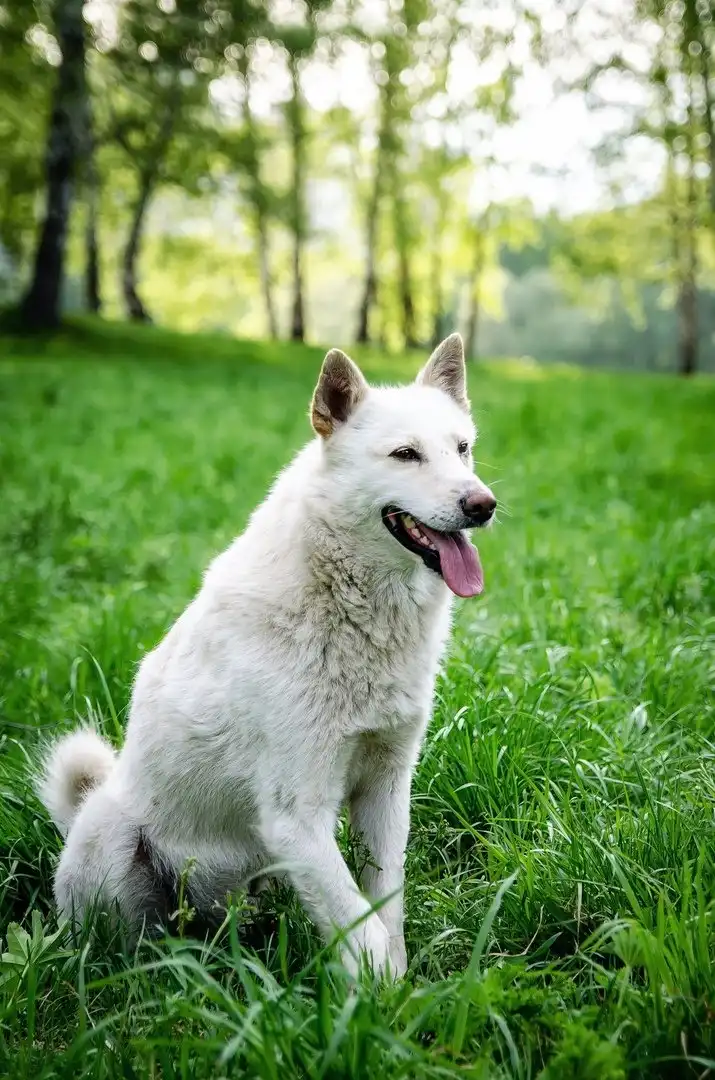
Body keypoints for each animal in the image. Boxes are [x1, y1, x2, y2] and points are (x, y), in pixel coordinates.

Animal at [39, 333, 496, 977]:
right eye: (405, 454)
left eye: (462, 449)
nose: (483, 505)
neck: (347, 606)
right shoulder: (295, 818)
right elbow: (363, 931)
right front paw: (392, 1000)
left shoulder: (384, 791)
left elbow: (385, 914)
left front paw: (404, 986)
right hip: (114, 839)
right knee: (123, 944)